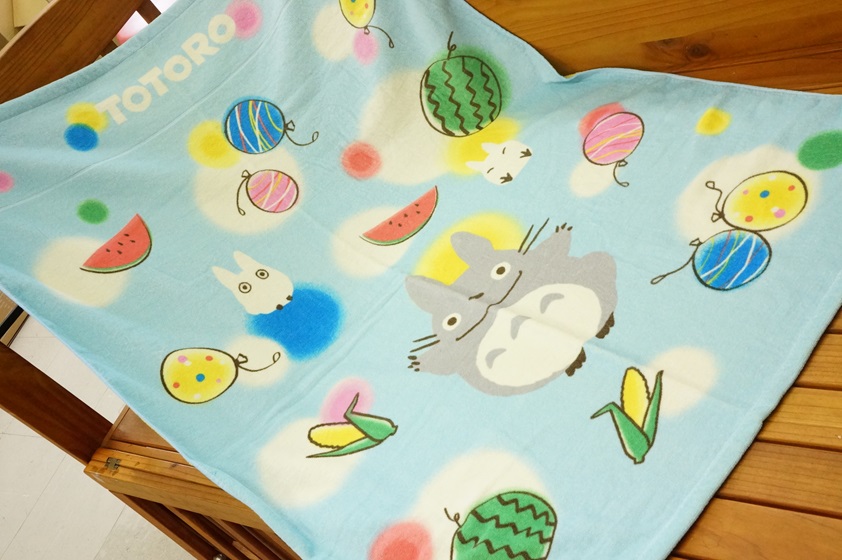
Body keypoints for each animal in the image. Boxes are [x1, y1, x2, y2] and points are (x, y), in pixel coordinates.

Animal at [405, 221, 617, 396]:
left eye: (500, 270)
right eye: (452, 321)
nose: (480, 297)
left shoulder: (538, 262)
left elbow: (550, 252)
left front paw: (560, 234)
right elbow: (445, 362)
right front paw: (420, 361)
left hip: (598, 265)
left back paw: (604, 327)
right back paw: (576, 361)